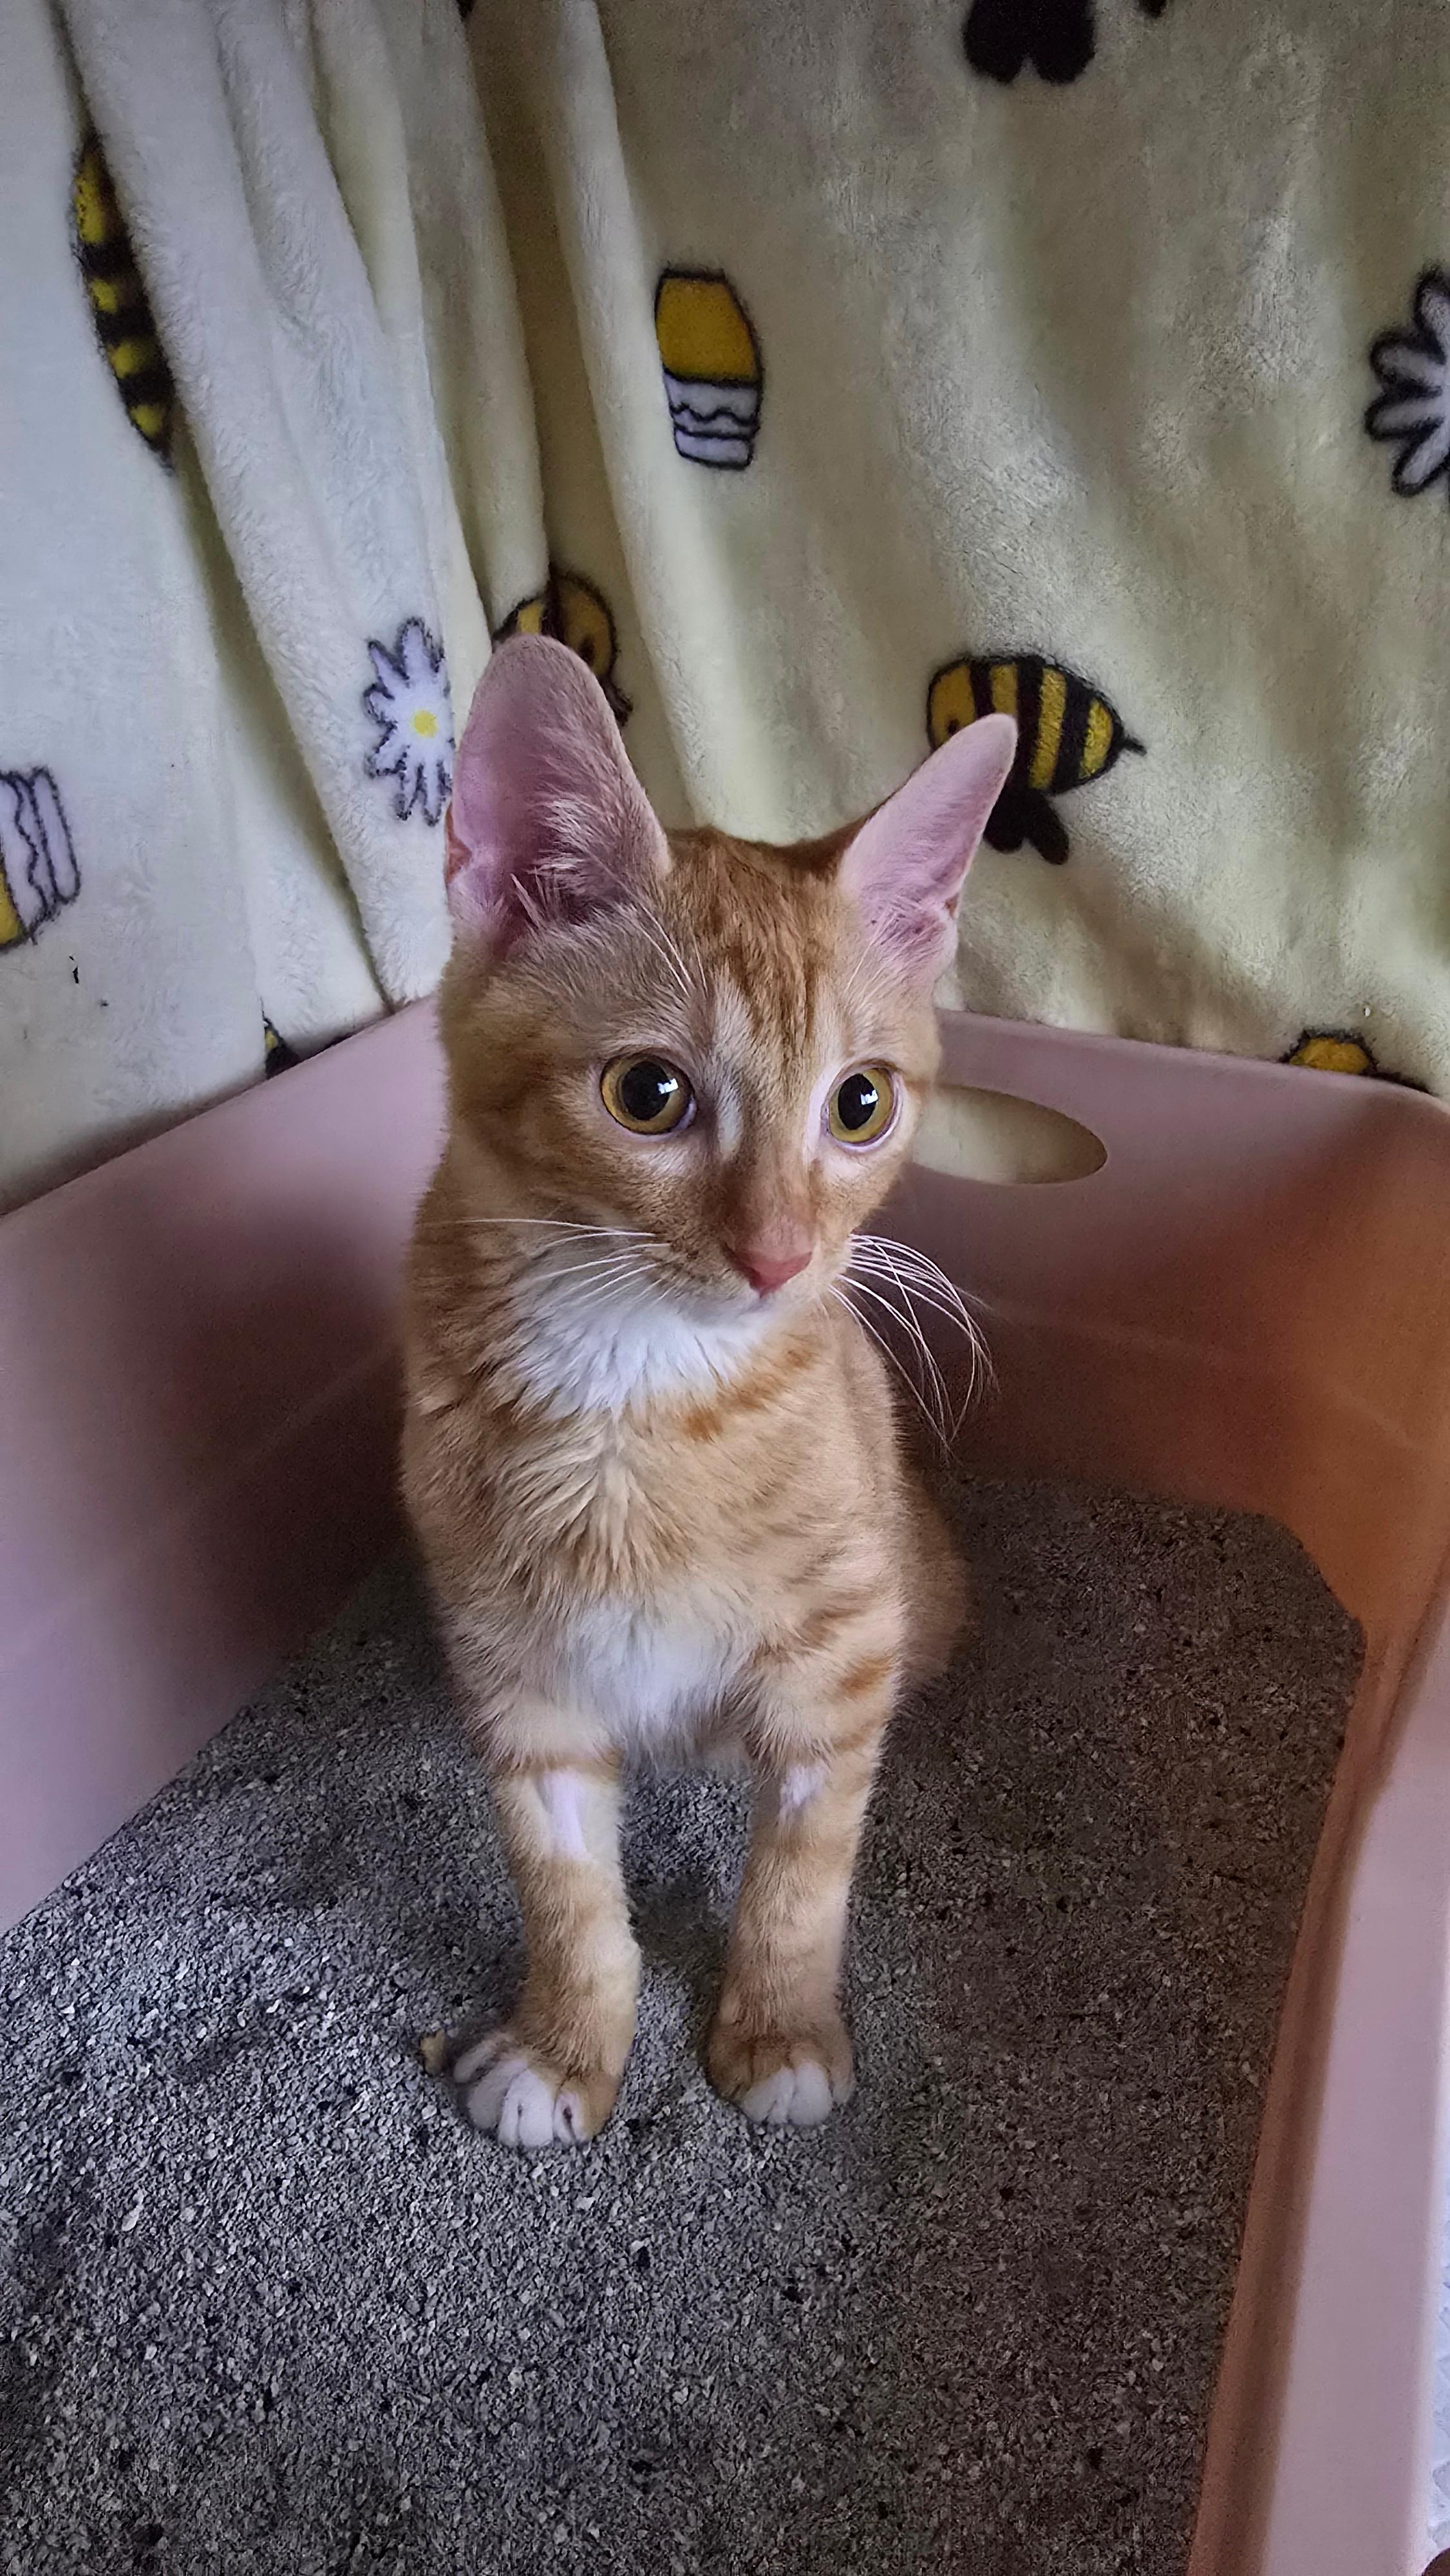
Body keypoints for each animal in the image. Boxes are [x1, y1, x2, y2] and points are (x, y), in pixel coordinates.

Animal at [402, 633, 1016, 2148]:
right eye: (649, 1092)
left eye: (860, 1104)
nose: (782, 1254)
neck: (639, 1393)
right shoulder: (518, 1676)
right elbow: (563, 1888)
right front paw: (564, 2043)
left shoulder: (845, 1655)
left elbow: (801, 1871)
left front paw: (779, 2029)